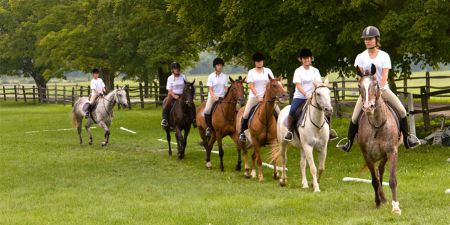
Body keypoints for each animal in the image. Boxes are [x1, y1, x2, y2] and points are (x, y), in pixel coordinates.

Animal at [356, 64, 402, 214]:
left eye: (376, 84)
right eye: (359, 86)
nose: (368, 107)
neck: (376, 125)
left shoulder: (392, 152)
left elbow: (392, 180)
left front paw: (396, 207)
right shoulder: (367, 156)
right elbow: (374, 181)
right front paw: (377, 203)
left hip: (385, 155)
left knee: (380, 170)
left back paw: (384, 198)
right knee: (377, 173)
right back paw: (381, 198)